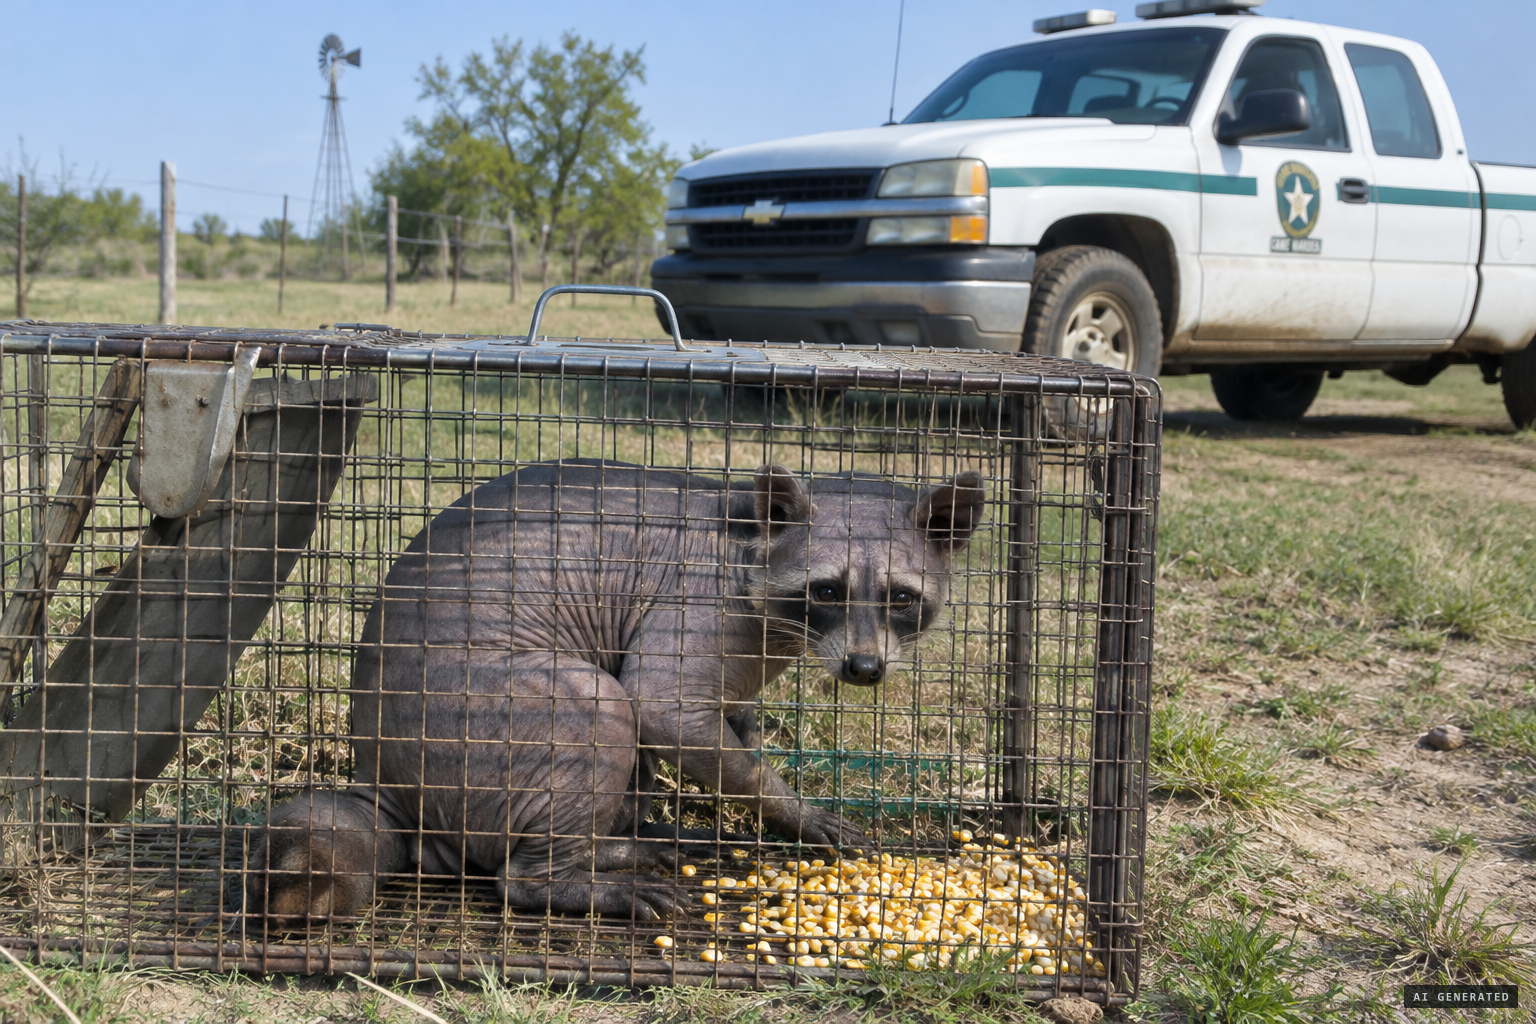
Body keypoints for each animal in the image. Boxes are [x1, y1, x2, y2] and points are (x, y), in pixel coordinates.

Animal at [235, 459, 984, 923]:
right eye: (827, 590)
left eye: (900, 597)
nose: (864, 668)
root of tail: (391, 783)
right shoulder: (693, 607)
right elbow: (660, 707)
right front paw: (784, 805)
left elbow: (734, 719)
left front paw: (763, 770)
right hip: (490, 715)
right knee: (603, 713)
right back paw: (564, 877)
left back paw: (613, 843)